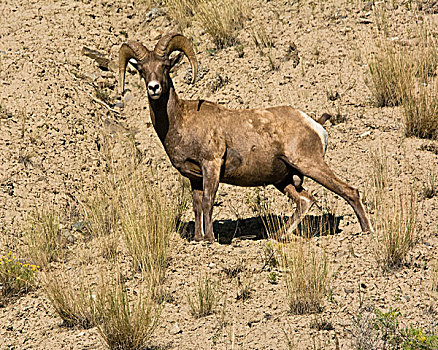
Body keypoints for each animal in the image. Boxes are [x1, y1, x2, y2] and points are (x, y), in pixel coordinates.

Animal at [120, 32, 372, 242]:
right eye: (142, 69)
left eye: (165, 66)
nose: (154, 88)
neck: (180, 121)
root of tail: (313, 123)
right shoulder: (194, 177)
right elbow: (197, 206)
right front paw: (198, 239)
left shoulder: (212, 166)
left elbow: (208, 202)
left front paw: (210, 240)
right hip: (284, 179)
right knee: (306, 201)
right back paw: (277, 236)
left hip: (309, 164)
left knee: (349, 191)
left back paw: (366, 231)